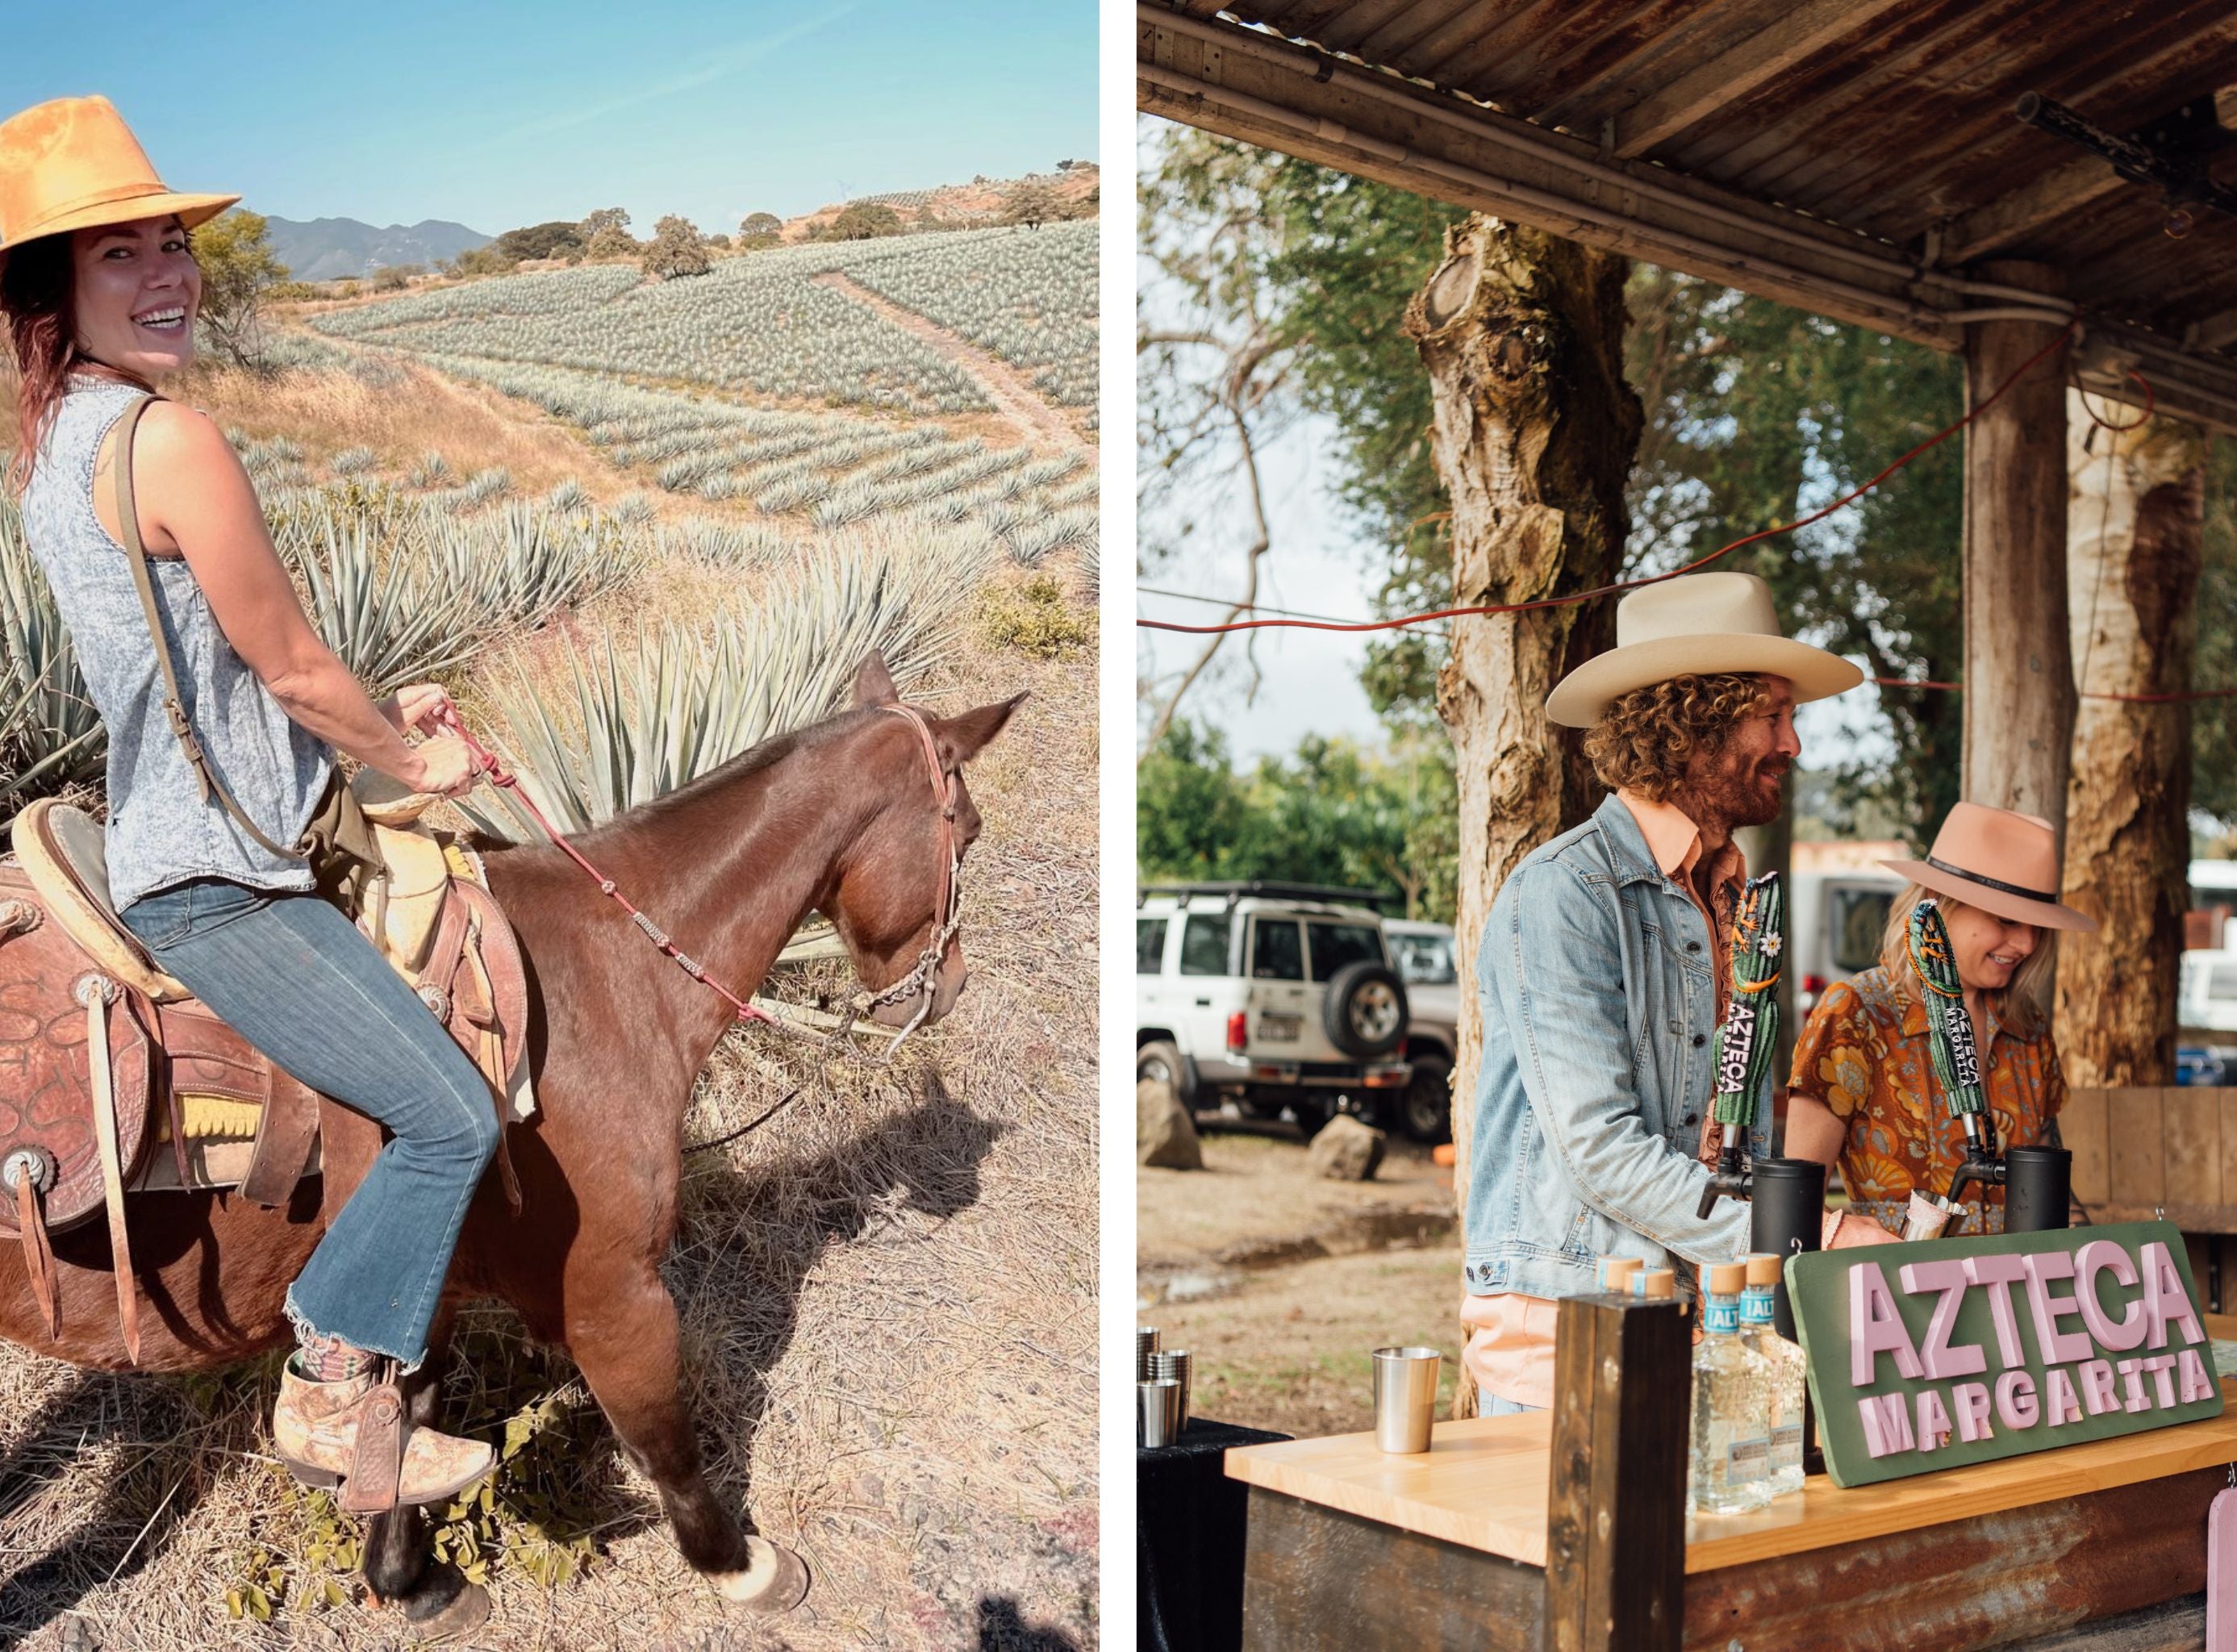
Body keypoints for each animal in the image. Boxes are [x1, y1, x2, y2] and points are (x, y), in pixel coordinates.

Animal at [0, 657, 1025, 1645]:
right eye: (966, 831)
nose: (948, 986)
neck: (614, 970)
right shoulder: (613, 1292)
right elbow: (663, 1438)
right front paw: (738, 1564)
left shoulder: (431, 1278)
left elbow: (406, 1411)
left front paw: (409, 1581)